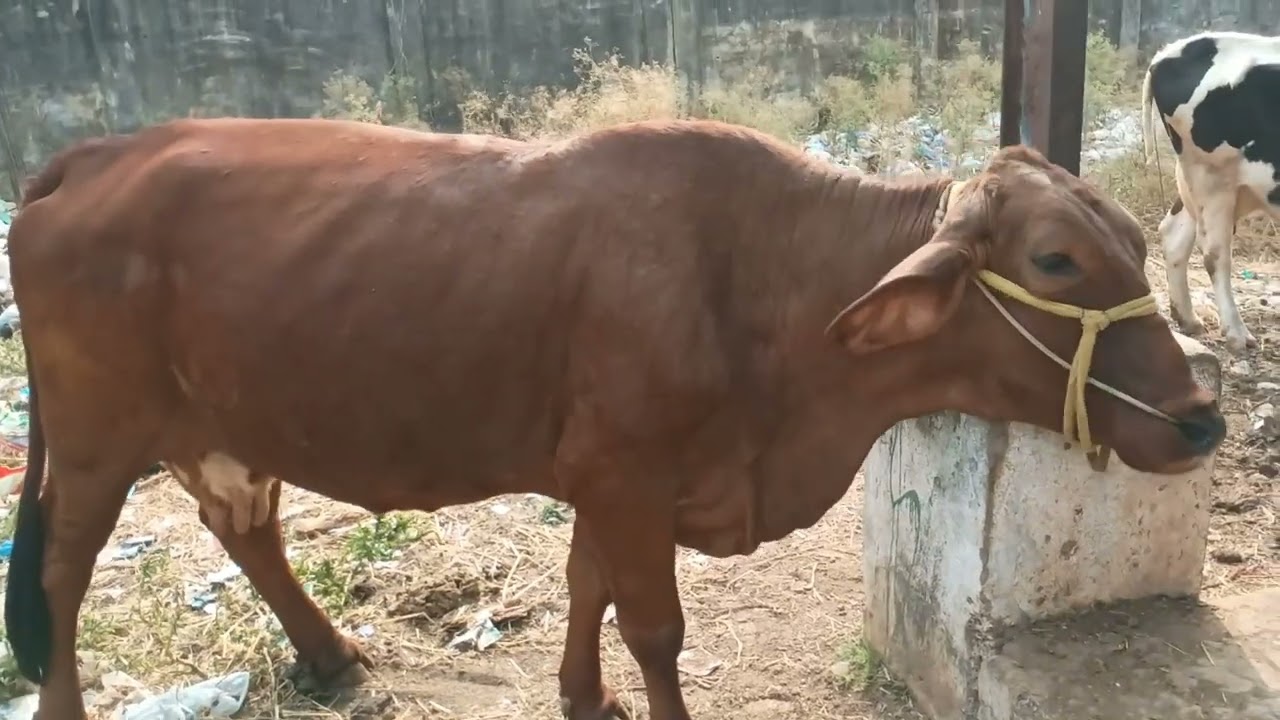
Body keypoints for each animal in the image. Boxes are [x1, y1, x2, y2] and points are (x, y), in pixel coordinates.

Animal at [3, 117, 1224, 720]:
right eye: (1055, 260)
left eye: (1131, 235)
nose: (1200, 420)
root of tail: (98, 153)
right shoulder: (627, 476)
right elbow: (654, 628)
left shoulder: (598, 478)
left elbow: (585, 586)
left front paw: (583, 700)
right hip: (97, 432)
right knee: (63, 569)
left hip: (212, 420)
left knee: (244, 524)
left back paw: (334, 659)